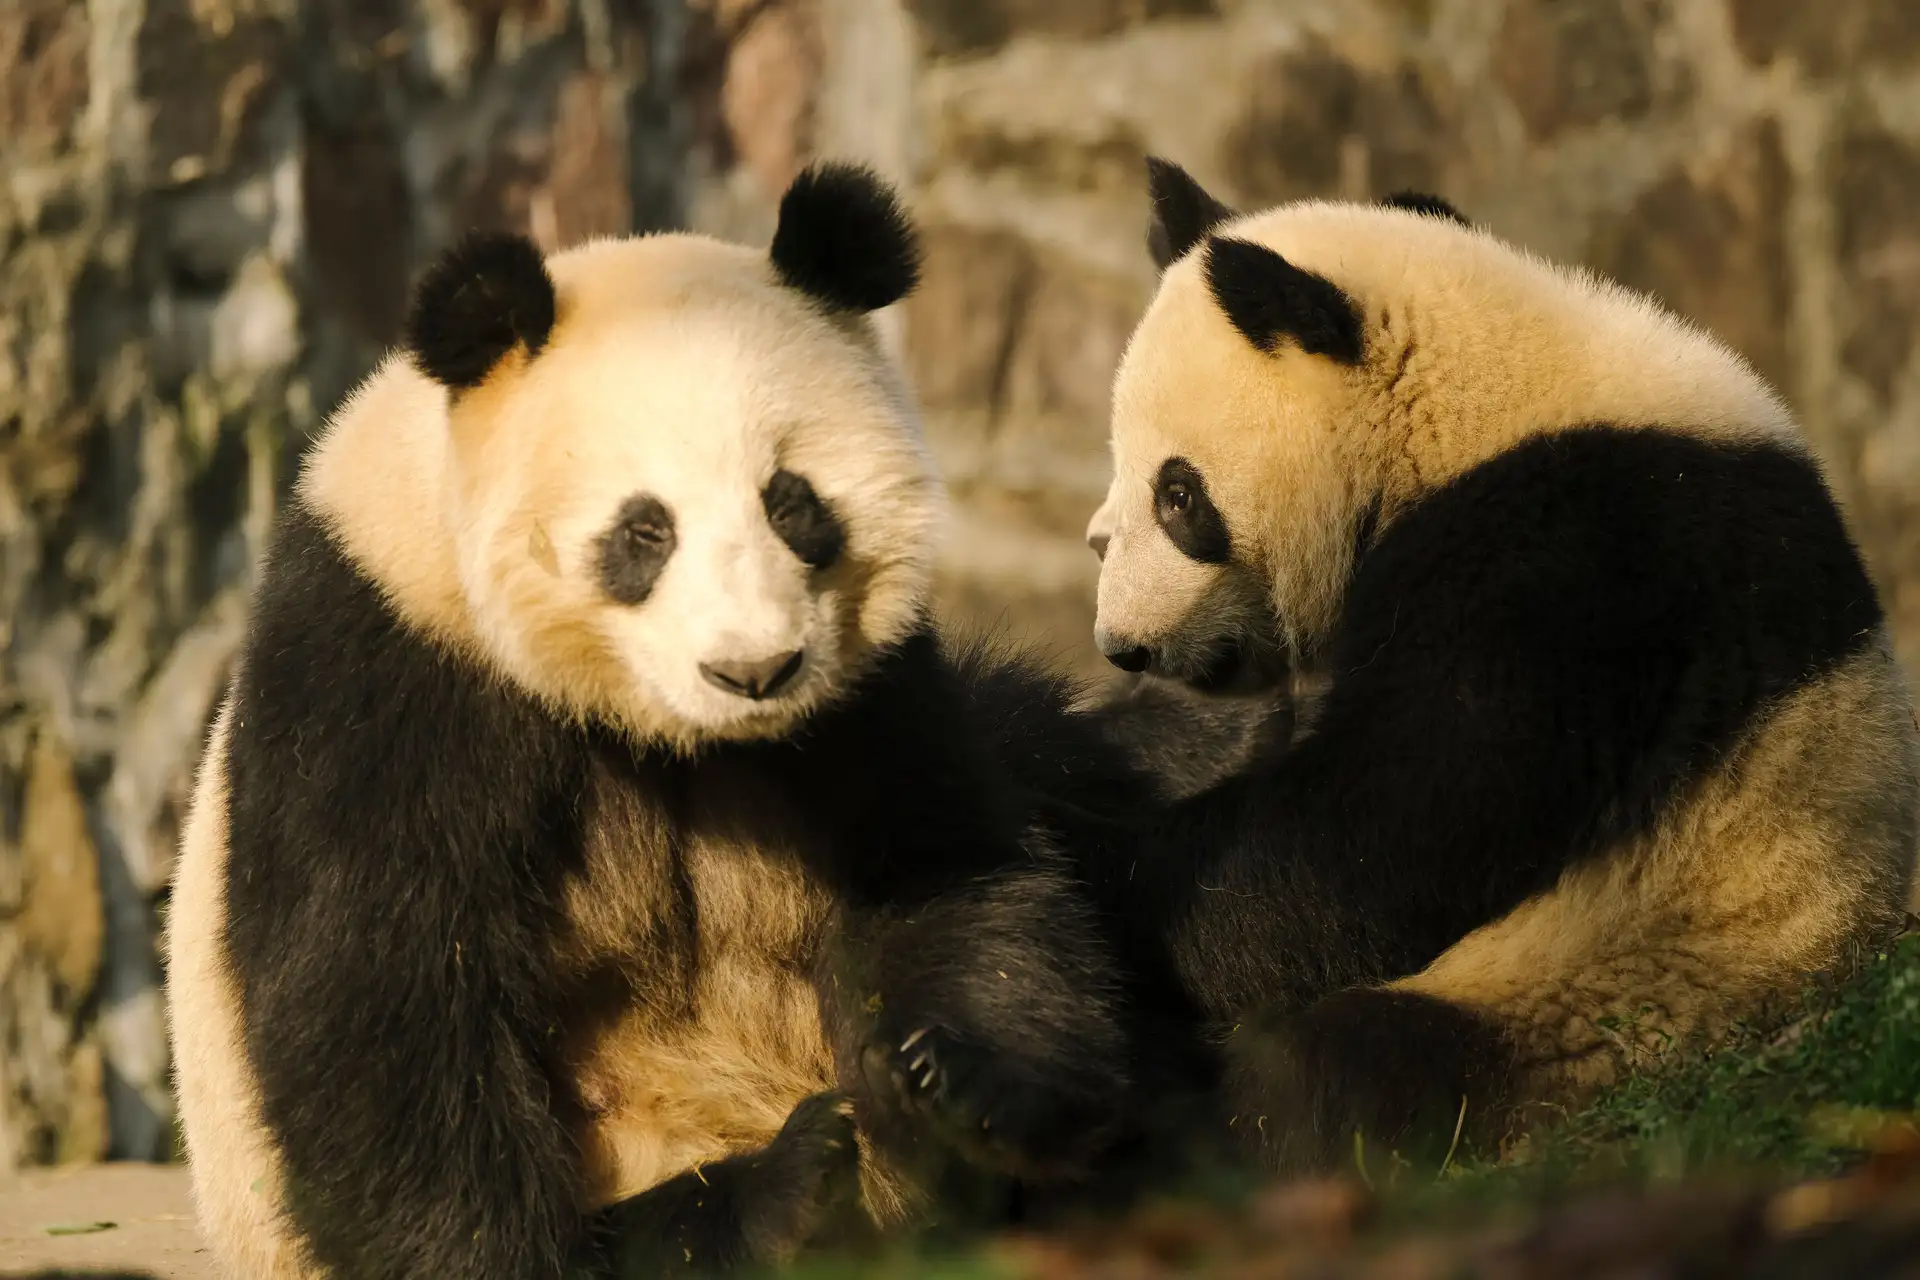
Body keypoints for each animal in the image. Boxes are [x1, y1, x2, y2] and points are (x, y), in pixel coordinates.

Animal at [163, 163, 1153, 1280]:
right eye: (644, 530)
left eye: (792, 503)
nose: (754, 670)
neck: (670, 732)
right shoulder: (390, 661)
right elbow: (383, 985)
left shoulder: (872, 689)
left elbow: (949, 863)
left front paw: (947, 1084)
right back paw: (781, 1193)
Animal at [1077, 156, 1920, 1172]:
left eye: (1178, 495)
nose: (1121, 643)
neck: (1468, 393)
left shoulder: (1565, 565)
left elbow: (1389, 831)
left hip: (1620, 997)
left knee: (1346, 1067)